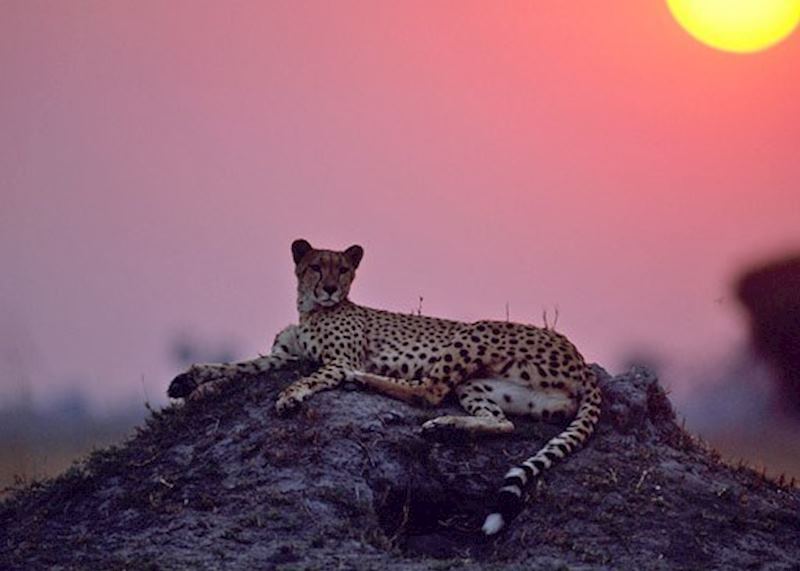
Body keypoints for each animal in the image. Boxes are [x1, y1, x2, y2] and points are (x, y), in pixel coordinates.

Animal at [168, 239, 602, 535]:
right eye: (316, 266)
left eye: (343, 269)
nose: (329, 287)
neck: (312, 310)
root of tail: (581, 358)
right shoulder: (282, 356)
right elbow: (237, 366)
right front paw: (189, 381)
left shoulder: (337, 360)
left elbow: (310, 376)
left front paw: (290, 396)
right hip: (487, 386)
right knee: (499, 420)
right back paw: (446, 428)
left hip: (475, 332)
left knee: (428, 389)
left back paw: (370, 383)